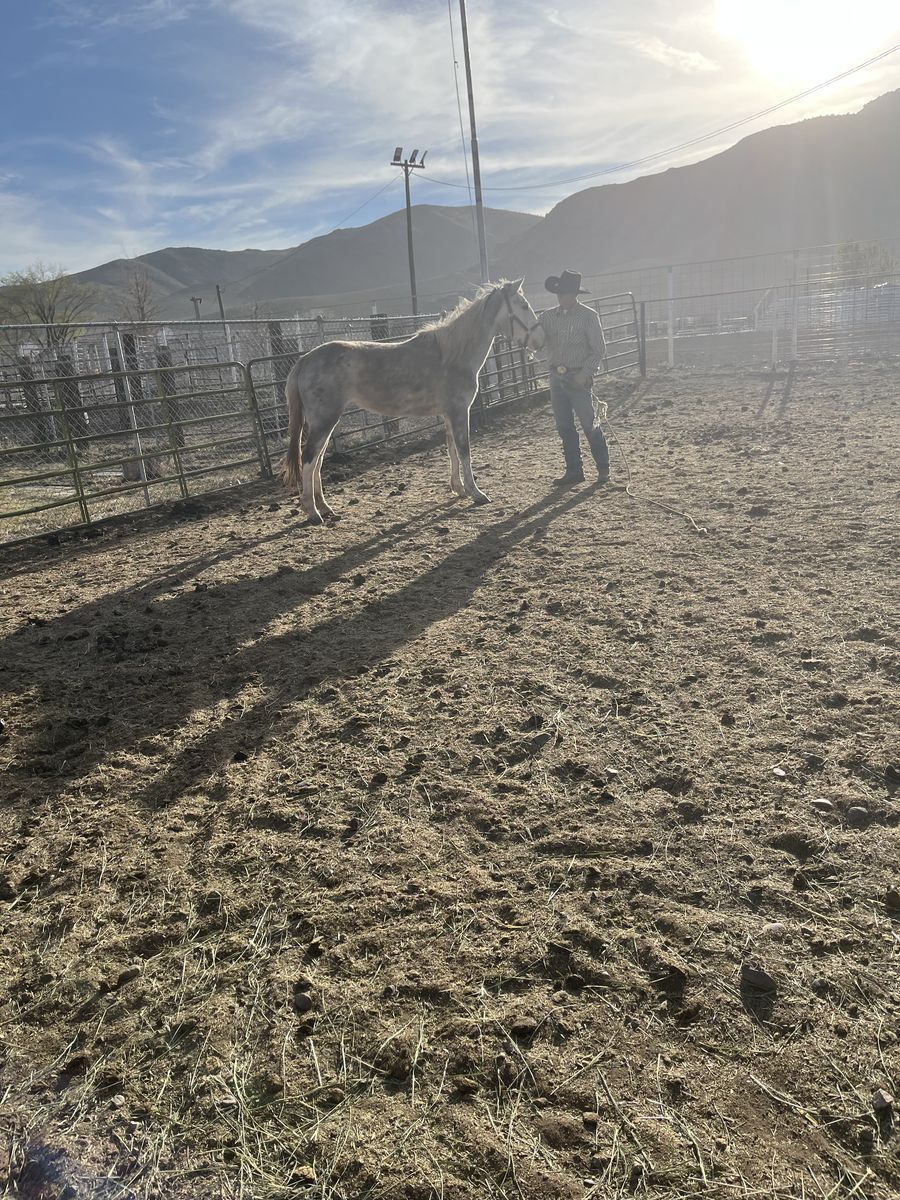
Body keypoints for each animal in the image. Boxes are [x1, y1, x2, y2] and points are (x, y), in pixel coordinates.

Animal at [281, 279, 544, 524]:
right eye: (523, 305)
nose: (539, 342)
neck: (453, 355)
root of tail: (305, 359)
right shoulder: (460, 411)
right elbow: (464, 450)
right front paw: (476, 493)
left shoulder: (448, 414)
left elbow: (451, 450)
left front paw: (458, 488)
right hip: (324, 420)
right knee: (309, 460)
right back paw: (313, 513)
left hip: (326, 422)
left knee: (317, 461)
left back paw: (324, 507)